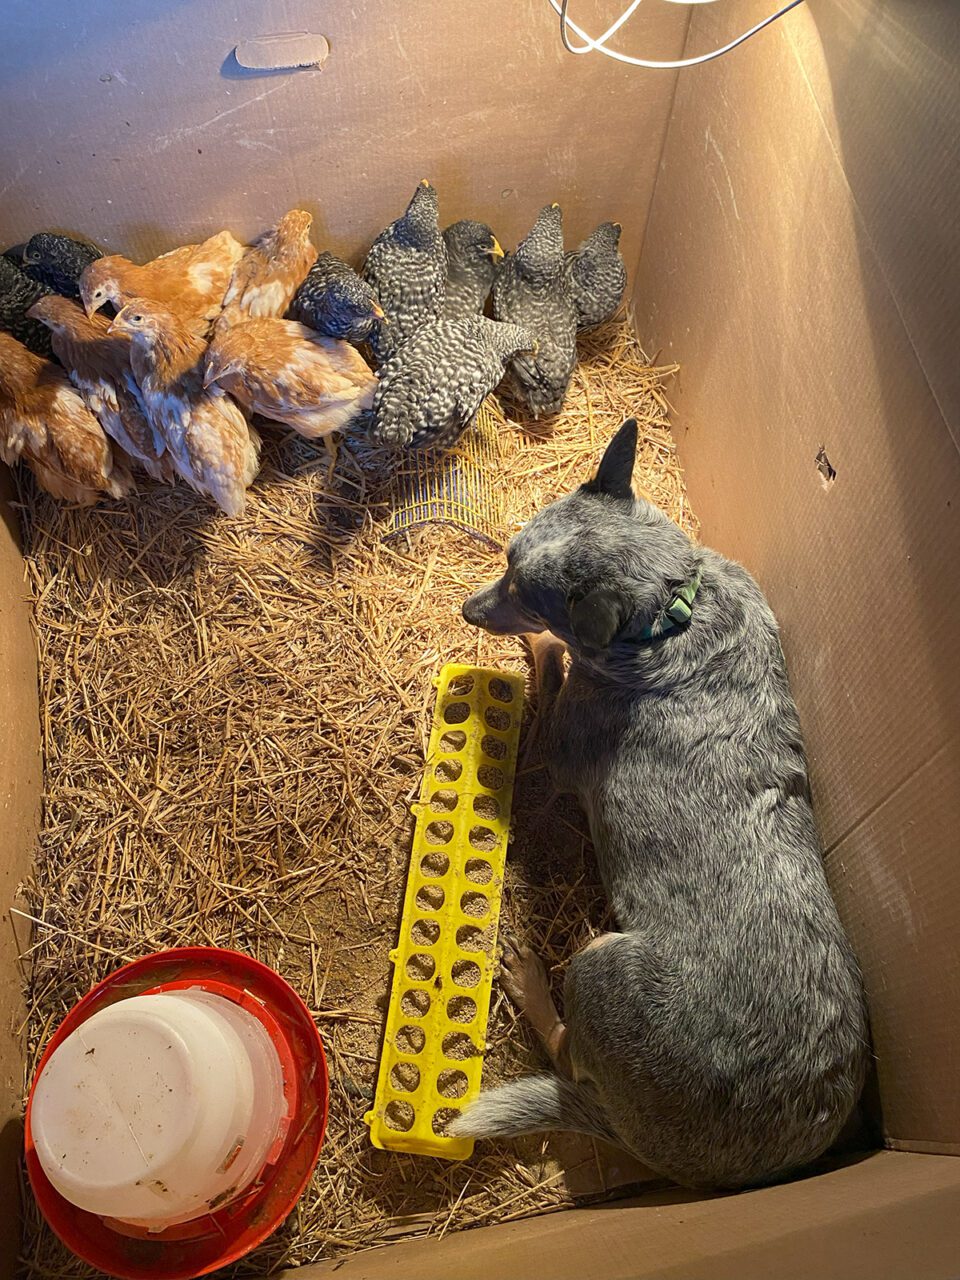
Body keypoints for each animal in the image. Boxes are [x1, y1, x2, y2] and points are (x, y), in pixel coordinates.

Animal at [453, 419, 870, 1187]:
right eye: (507, 559)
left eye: (522, 587)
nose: (466, 609)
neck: (675, 611)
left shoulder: (556, 748)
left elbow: (553, 671)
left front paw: (542, 642)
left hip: (599, 965)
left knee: (568, 1053)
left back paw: (528, 981)